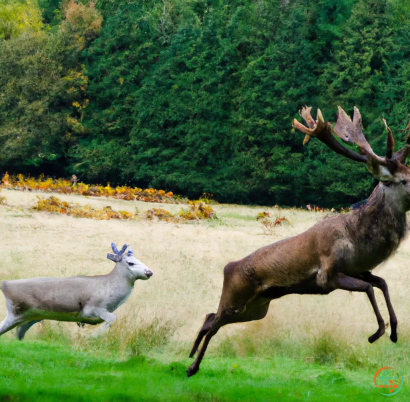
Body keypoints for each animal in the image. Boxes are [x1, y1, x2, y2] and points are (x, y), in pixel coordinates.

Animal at [0, 242, 153, 340]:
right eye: (131, 262)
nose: (149, 272)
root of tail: (4, 284)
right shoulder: (92, 308)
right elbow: (112, 318)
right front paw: (92, 337)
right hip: (15, 312)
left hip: (28, 318)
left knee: (18, 333)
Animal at [187, 106, 410, 376]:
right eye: (403, 180)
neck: (360, 243)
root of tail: (227, 269)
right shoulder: (327, 274)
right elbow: (368, 287)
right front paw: (377, 332)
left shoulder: (359, 269)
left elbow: (382, 283)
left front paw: (395, 331)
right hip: (236, 297)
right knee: (214, 322)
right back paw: (192, 366)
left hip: (256, 308)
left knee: (210, 317)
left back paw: (190, 355)